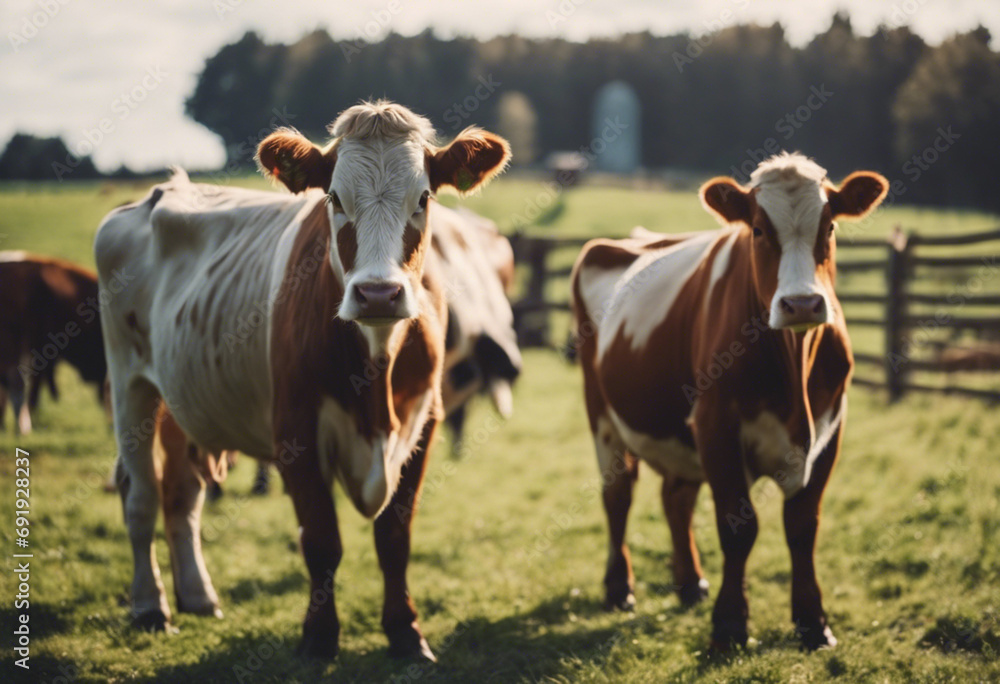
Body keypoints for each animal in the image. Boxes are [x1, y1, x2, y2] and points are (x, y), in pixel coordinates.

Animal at [94, 99, 512, 660]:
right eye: (333, 197)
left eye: (424, 197)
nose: (378, 294)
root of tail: (159, 194)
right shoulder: (294, 433)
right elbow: (321, 540)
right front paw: (318, 637)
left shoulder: (424, 423)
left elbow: (394, 538)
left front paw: (406, 632)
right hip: (130, 382)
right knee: (139, 494)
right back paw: (149, 607)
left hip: (182, 401)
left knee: (181, 493)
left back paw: (199, 597)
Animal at [572, 152, 892, 648]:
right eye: (758, 230)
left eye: (830, 228)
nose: (802, 304)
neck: (793, 365)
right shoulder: (715, 424)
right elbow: (738, 527)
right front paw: (729, 625)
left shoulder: (831, 427)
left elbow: (803, 526)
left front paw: (813, 622)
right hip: (602, 413)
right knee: (618, 494)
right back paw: (619, 587)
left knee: (676, 497)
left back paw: (690, 583)